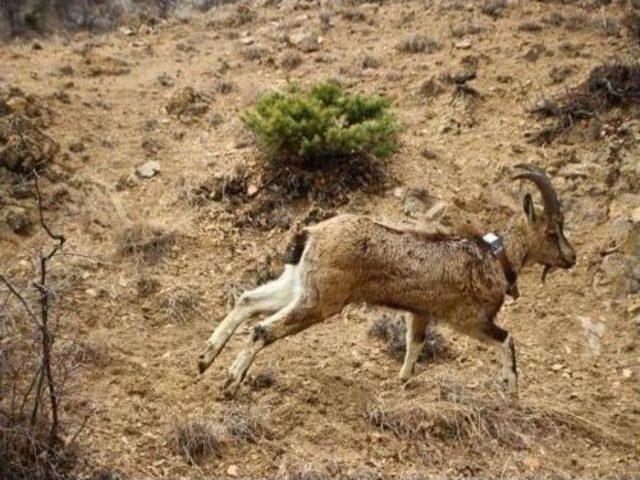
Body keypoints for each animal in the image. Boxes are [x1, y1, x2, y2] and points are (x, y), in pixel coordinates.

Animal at [198, 165, 576, 398]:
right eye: (552, 231)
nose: (571, 258)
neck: (496, 257)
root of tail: (312, 234)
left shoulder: (419, 313)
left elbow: (415, 344)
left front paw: (402, 381)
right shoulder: (470, 320)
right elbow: (507, 340)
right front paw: (511, 391)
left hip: (299, 283)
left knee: (248, 300)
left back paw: (205, 358)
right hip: (321, 299)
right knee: (263, 328)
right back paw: (230, 381)